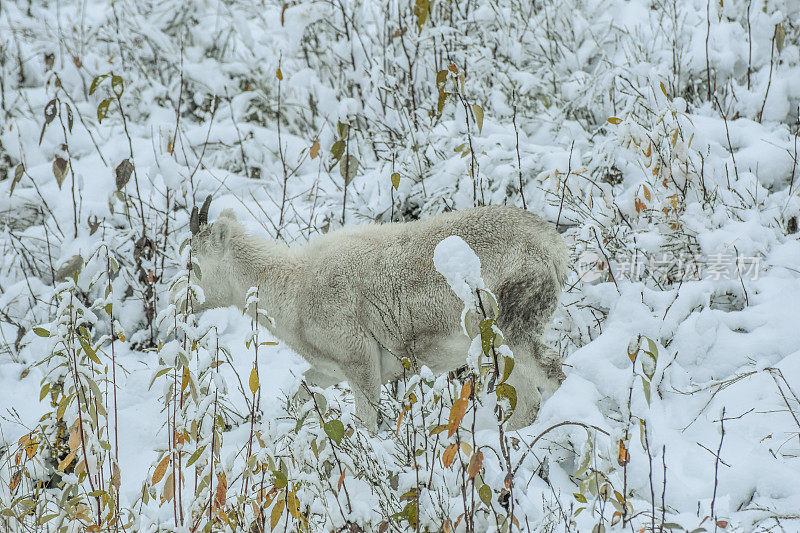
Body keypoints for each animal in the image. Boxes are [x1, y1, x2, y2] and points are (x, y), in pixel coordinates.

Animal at [188, 197, 568, 430]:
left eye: (193, 263)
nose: (184, 307)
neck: (293, 287)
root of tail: (552, 245)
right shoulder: (330, 370)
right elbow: (300, 394)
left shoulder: (360, 360)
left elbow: (367, 422)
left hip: (514, 333)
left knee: (549, 381)